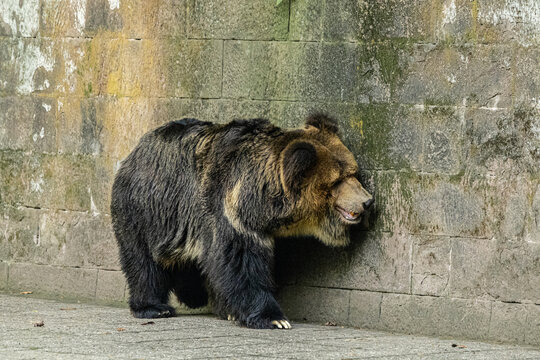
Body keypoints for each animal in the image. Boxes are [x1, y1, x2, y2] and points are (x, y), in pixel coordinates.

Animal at [109, 114, 372, 330]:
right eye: (337, 181)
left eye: (354, 172)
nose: (367, 201)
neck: (261, 202)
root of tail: (136, 149)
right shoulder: (230, 214)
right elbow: (240, 263)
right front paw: (273, 318)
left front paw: (230, 311)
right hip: (145, 210)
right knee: (143, 260)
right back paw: (154, 307)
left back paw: (193, 295)